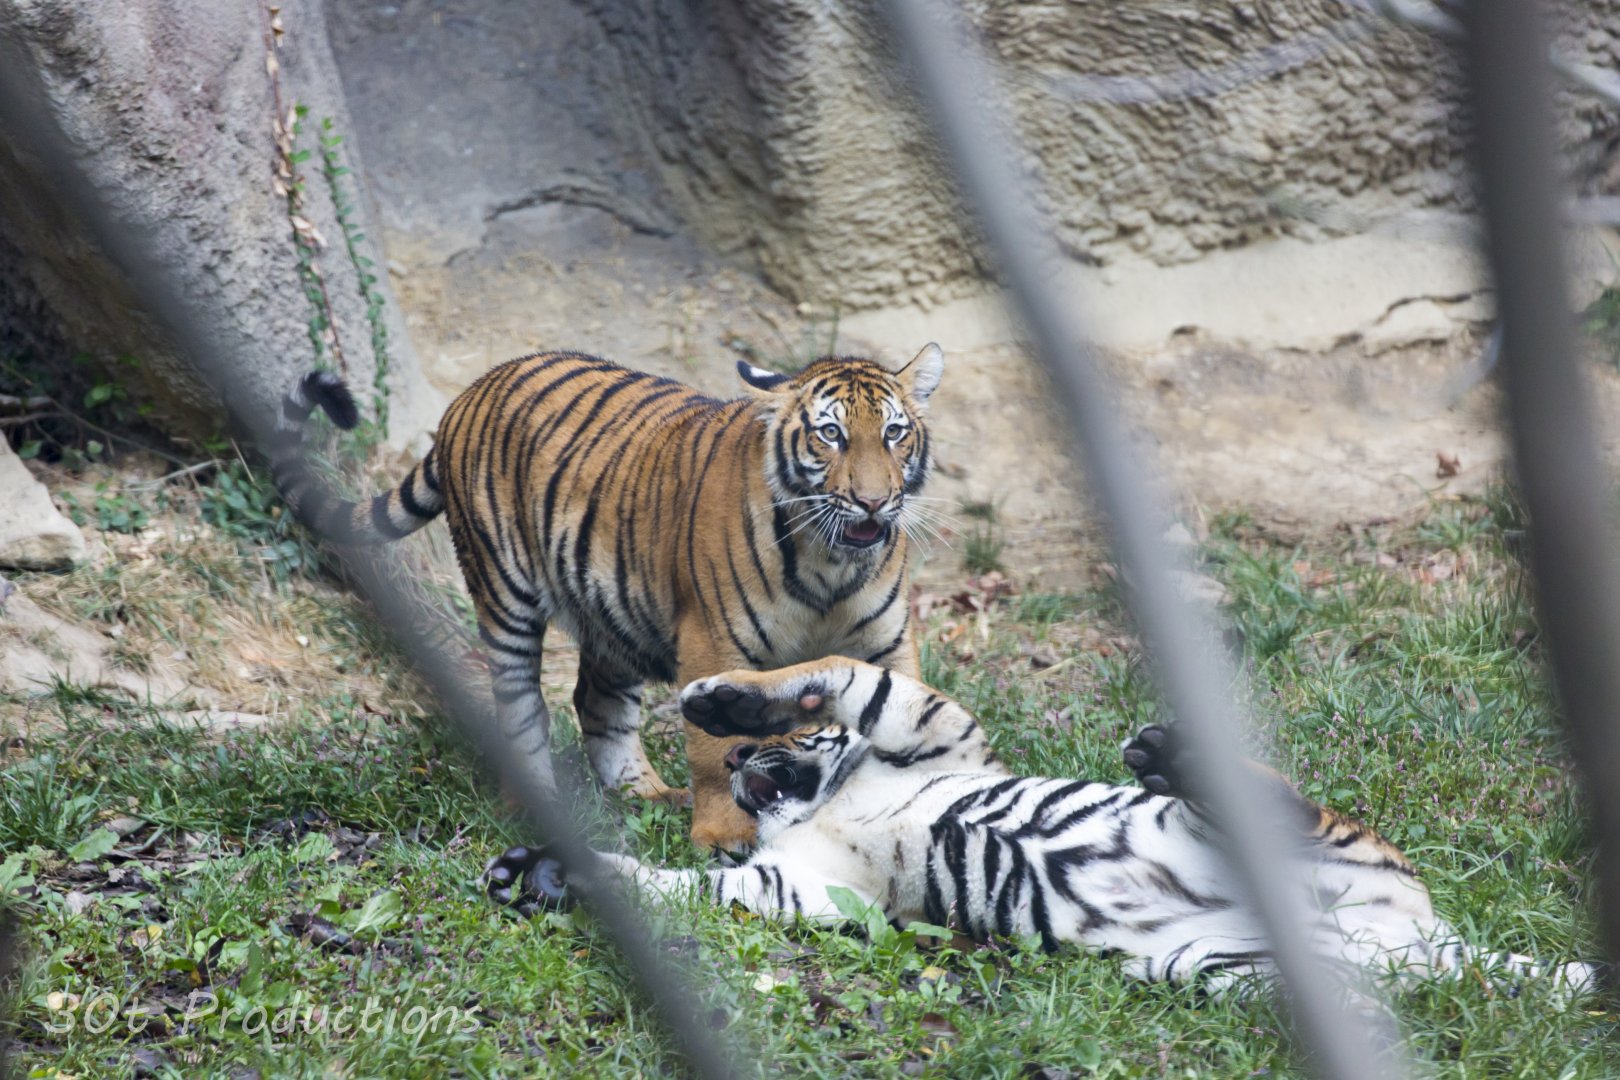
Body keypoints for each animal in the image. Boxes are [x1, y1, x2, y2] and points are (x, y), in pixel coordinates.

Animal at [271, 347, 945, 849]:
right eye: (831, 434)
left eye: (894, 434)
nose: (873, 502)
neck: (832, 563)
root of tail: (473, 390)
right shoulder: (712, 642)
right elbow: (712, 749)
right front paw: (722, 835)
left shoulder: (887, 644)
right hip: (506, 595)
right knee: (522, 704)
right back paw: (540, 802)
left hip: (616, 607)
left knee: (597, 703)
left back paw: (645, 794)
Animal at [485, 658, 1599, 997]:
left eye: (778, 745)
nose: (739, 769)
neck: (825, 799)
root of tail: (1430, 939)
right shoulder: (803, 887)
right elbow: (686, 885)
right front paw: (539, 878)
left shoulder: (940, 731)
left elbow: (842, 672)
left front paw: (721, 700)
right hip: (1217, 966)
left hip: (1327, 848)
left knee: (1281, 805)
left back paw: (1169, 756)